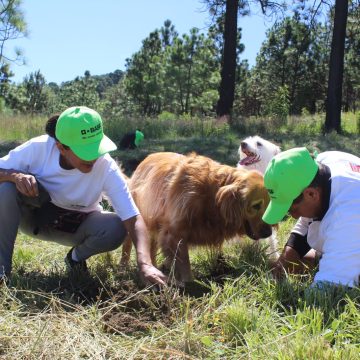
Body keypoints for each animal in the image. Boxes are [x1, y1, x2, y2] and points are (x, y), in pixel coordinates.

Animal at [119, 150, 272, 282]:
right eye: (256, 205)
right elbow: (185, 266)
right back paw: (123, 267)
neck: (212, 193)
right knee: (127, 244)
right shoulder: (174, 234)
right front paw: (190, 287)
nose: (268, 233)